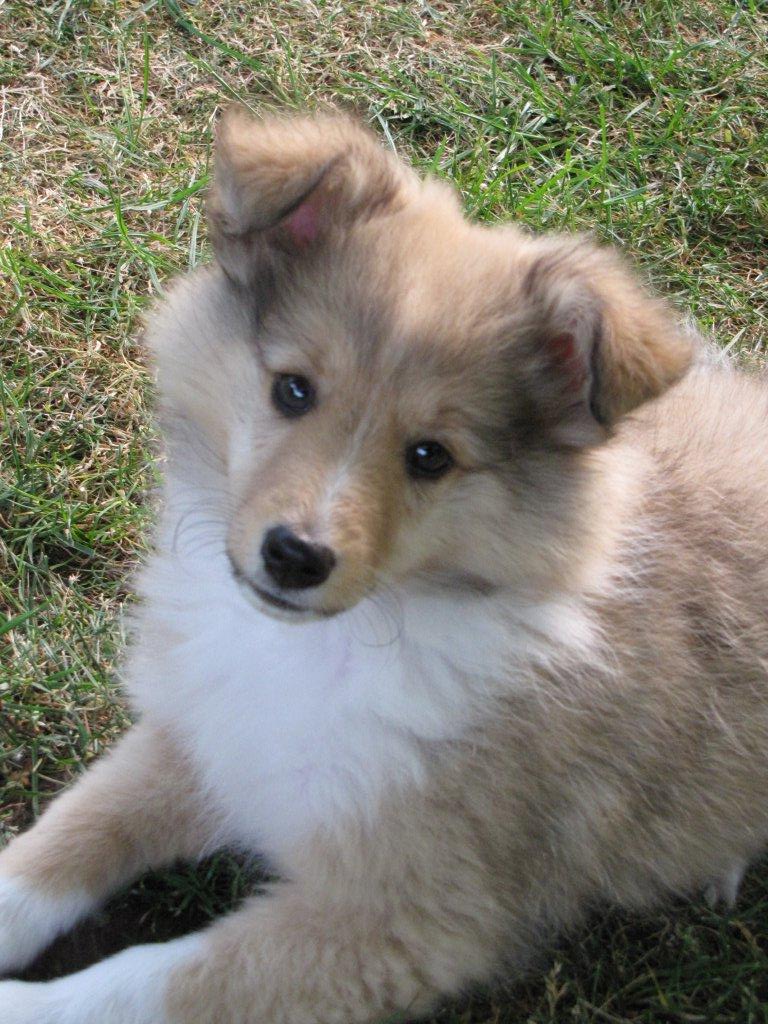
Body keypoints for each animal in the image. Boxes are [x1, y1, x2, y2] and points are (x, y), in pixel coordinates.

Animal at [1, 108, 767, 1024]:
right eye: (293, 389)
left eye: (430, 456)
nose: (295, 556)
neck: (332, 642)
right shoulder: (211, 735)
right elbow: (75, 833)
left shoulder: (402, 916)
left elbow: (152, 980)